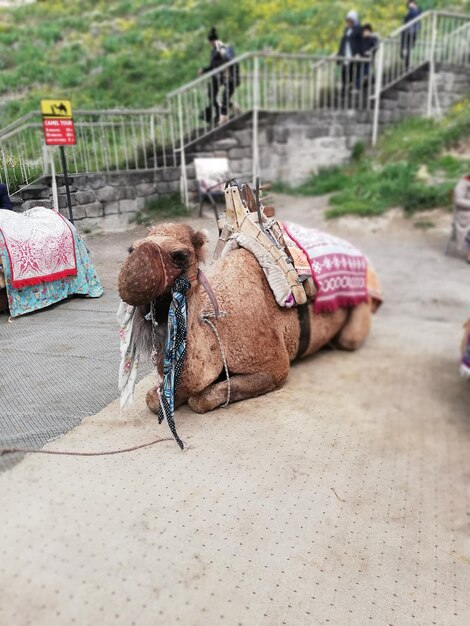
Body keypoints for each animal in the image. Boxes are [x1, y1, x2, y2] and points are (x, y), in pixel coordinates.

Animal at [117, 217, 378, 416]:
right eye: (131, 248)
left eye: (180, 255)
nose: (131, 278)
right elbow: (154, 399)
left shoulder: (273, 367)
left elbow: (200, 399)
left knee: (348, 339)